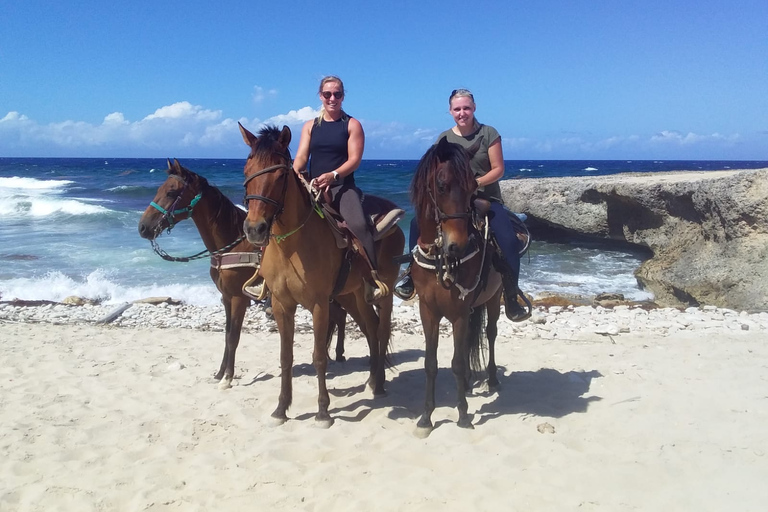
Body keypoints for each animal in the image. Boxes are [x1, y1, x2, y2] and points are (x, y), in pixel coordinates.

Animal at [138, 159, 348, 388]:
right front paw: (221, 372)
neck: (231, 244)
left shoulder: (239, 298)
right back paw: (335, 354)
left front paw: (228, 377)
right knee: (338, 316)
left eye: (171, 192)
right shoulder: (226, 297)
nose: (143, 227)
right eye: (159, 189)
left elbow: (233, 337)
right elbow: (227, 334)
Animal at [242, 124, 408, 428]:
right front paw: (281, 409)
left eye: (280, 175)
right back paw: (371, 379)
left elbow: (320, 356)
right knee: (370, 328)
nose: (254, 229)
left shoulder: (320, 305)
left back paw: (379, 385)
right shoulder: (282, 305)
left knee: (381, 330)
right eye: (248, 170)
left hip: (385, 291)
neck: (291, 245)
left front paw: (323, 411)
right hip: (353, 295)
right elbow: (286, 357)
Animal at [408, 138, 504, 438]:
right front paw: (426, 417)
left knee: (490, 333)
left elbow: (458, 363)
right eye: (441, 185)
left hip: (495, 297)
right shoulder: (428, 311)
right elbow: (430, 364)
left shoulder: (459, 313)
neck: (441, 258)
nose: (457, 246)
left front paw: (463, 414)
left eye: (473, 187)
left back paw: (492, 379)